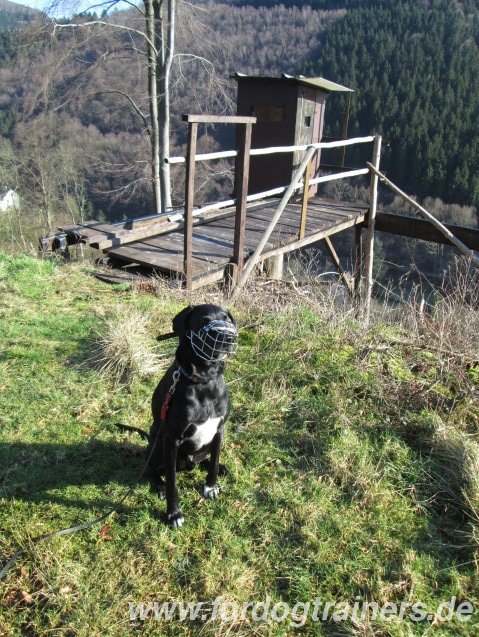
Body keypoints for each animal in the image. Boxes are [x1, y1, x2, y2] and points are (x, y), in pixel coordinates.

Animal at [142, 304, 237, 528]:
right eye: (203, 321)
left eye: (227, 320)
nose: (228, 337)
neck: (204, 381)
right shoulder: (171, 440)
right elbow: (172, 484)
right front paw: (173, 514)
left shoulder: (219, 431)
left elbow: (213, 463)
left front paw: (211, 486)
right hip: (157, 447)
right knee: (150, 468)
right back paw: (158, 485)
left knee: (206, 460)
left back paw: (221, 468)